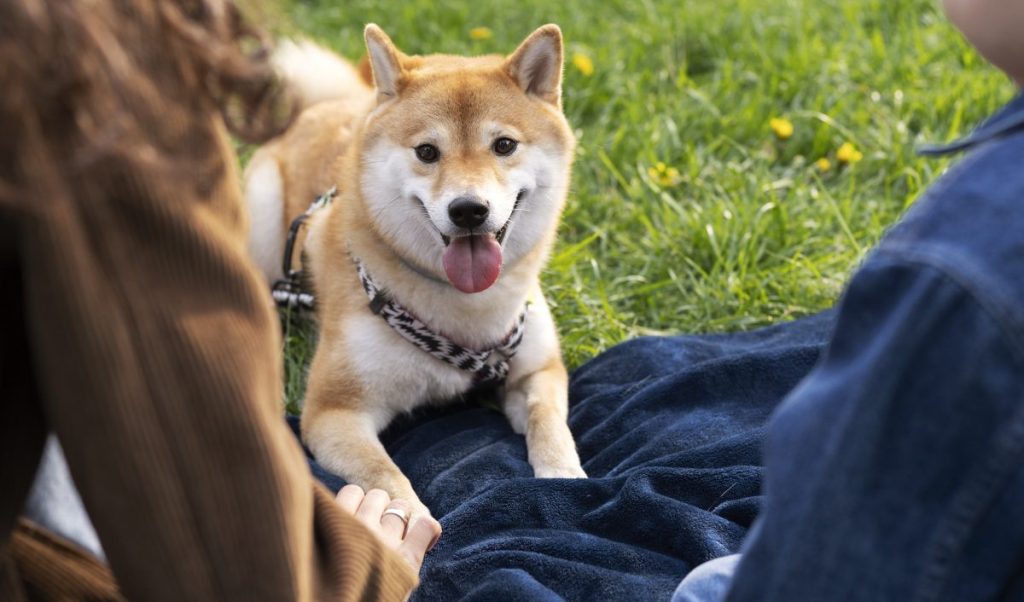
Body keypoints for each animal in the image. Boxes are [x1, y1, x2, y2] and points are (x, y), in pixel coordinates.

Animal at [244, 24, 586, 520]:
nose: (468, 210)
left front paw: (564, 474)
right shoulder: (335, 410)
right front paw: (401, 519)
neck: (468, 311)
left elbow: (549, 421)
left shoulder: (537, 370)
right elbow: (384, 475)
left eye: (504, 145)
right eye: (427, 151)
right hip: (264, 218)